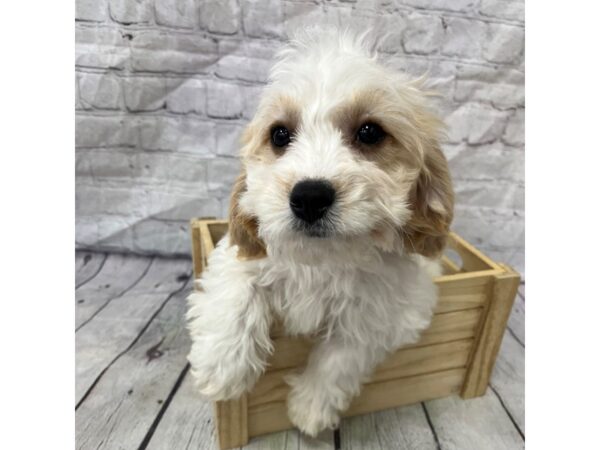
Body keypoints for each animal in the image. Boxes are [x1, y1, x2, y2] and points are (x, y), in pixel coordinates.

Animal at [185, 28, 452, 436]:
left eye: (370, 132)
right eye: (279, 135)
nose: (309, 196)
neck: (324, 259)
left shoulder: (395, 309)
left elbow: (345, 353)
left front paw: (310, 407)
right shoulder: (239, 252)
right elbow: (235, 289)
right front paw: (222, 366)